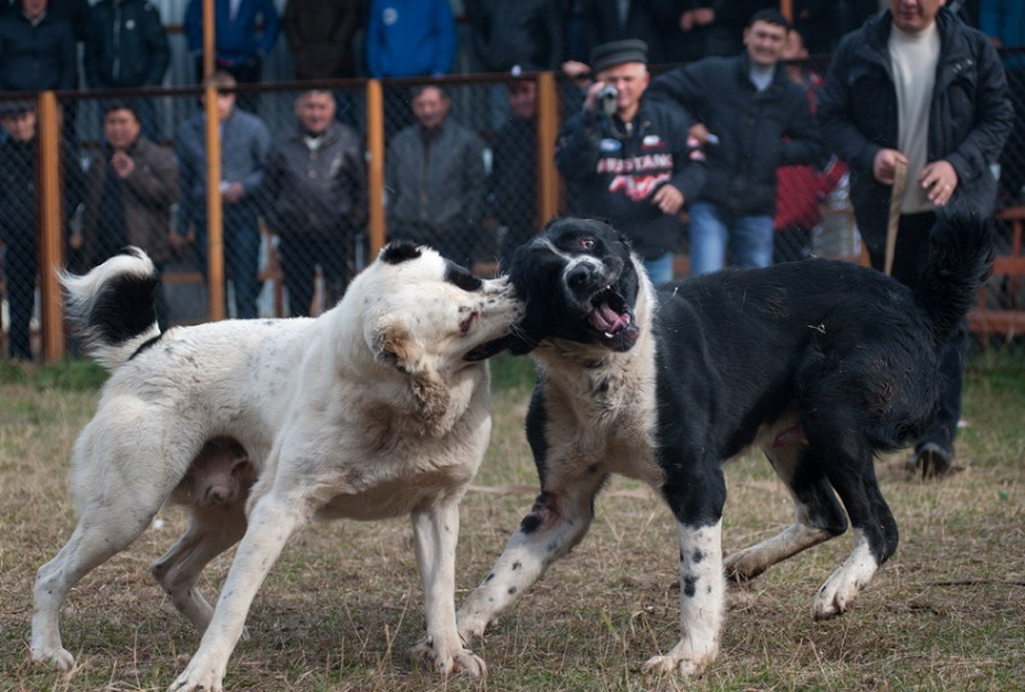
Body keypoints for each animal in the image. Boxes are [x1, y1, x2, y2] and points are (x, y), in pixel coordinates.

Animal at [31, 240, 520, 688]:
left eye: (467, 279)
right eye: (466, 320)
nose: (521, 291)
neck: (395, 409)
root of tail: (147, 346)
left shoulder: (437, 507)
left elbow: (440, 593)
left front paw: (451, 655)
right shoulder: (276, 510)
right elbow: (235, 601)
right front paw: (202, 675)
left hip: (227, 515)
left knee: (169, 570)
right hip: (127, 513)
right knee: (51, 575)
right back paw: (47, 652)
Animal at [459, 215, 992, 676]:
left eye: (587, 242)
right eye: (545, 272)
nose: (584, 274)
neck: (605, 373)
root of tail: (918, 305)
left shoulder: (698, 486)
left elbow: (697, 582)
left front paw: (689, 655)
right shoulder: (562, 505)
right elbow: (501, 576)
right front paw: (455, 632)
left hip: (832, 411)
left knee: (879, 526)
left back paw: (839, 586)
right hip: (789, 436)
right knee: (826, 515)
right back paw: (748, 561)